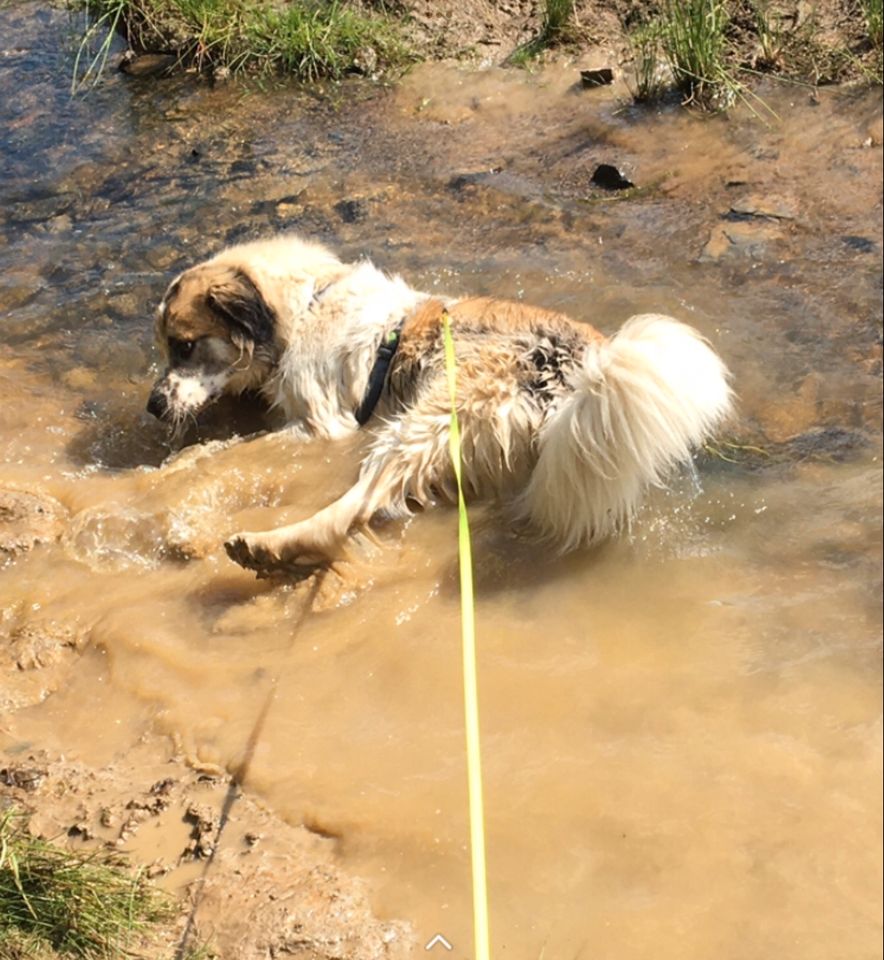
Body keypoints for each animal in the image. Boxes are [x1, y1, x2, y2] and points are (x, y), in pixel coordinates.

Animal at [150, 235, 732, 572]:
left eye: (184, 345)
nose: (153, 407)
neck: (304, 307)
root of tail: (580, 372)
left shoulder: (323, 426)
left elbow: (228, 450)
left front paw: (167, 472)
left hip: (429, 415)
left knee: (354, 507)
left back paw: (271, 546)